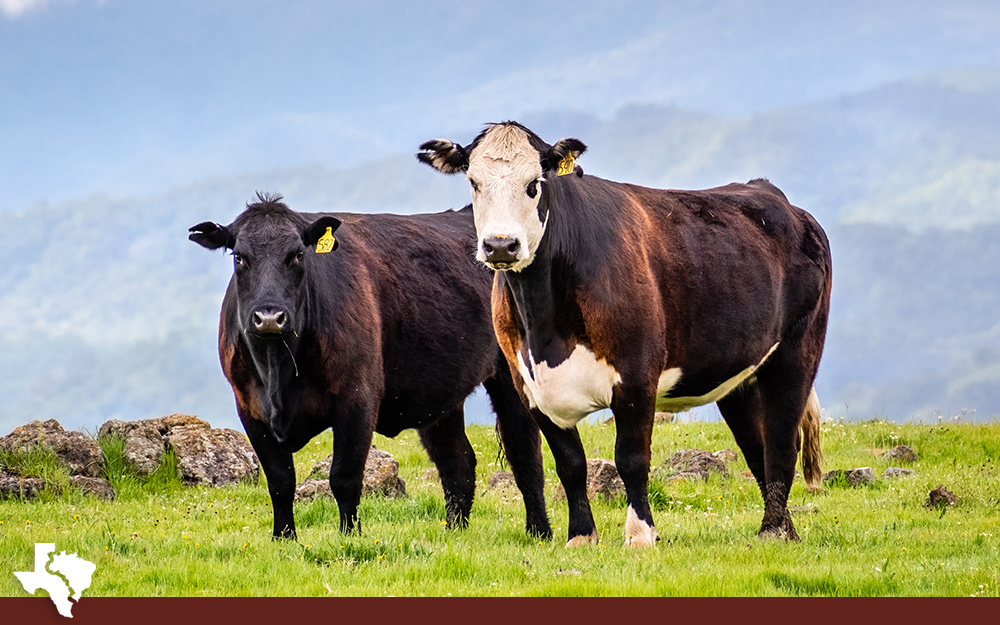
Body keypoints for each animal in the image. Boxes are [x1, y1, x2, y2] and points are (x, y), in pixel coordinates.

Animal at [188, 193, 551, 540]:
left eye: (298, 255)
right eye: (239, 257)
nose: (268, 317)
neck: (279, 371)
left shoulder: (358, 398)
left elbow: (344, 477)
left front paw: (350, 536)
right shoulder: (249, 408)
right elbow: (280, 481)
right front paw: (284, 538)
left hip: (511, 377)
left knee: (524, 454)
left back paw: (539, 531)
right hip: (441, 393)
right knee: (458, 462)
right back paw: (454, 532)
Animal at [418, 122, 831, 546]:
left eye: (534, 183)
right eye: (473, 182)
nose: (501, 245)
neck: (545, 328)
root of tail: (769, 192)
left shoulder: (636, 376)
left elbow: (630, 459)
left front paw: (640, 534)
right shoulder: (531, 387)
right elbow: (570, 464)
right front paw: (581, 535)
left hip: (797, 353)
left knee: (781, 444)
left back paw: (774, 531)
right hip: (737, 372)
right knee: (755, 447)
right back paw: (781, 528)